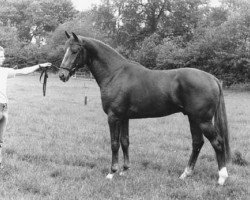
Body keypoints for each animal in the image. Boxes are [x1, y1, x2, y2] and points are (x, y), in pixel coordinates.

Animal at [58, 31, 230, 186]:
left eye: (75, 50)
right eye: (65, 49)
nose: (62, 75)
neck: (115, 73)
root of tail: (212, 78)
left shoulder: (113, 117)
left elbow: (114, 143)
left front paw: (112, 172)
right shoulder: (124, 117)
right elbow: (125, 141)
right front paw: (125, 169)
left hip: (203, 121)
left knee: (217, 143)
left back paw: (222, 178)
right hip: (193, 119)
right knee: (197, 143)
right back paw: (185, 174)